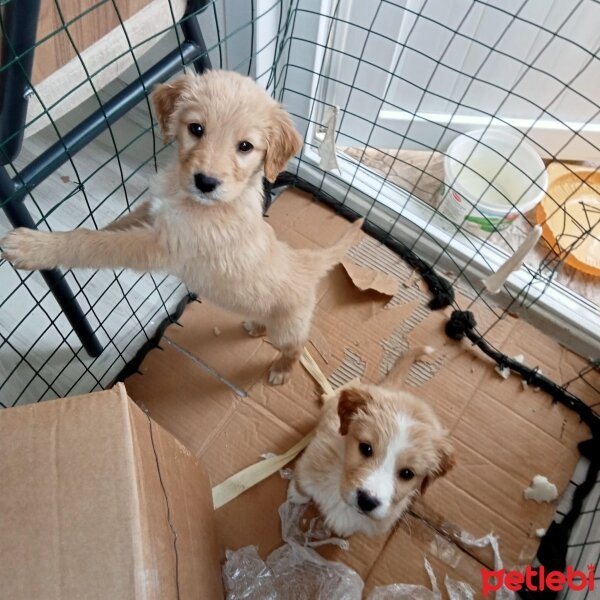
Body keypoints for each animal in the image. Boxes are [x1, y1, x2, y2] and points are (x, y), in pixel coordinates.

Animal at [1, 70, 360, 386]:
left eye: (245, 146)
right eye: (196, 128)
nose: (206, 182)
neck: (190, 197)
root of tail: (306, 261)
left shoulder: (160, 245)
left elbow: (96, 244)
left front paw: (32, 247)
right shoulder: (151, 212)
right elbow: (115, 227)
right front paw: (90, 229)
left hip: (288, 326)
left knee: (296, 346)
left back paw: (282, 371)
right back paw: (256, 327)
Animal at [290, 384, 454, 540]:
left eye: (407, 473)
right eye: (366, 448)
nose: (367, 501)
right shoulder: (311, 462)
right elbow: (303, 484)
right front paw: (296, 495)